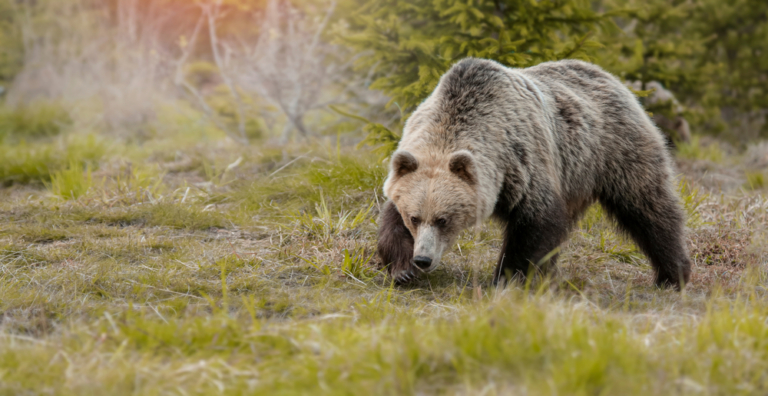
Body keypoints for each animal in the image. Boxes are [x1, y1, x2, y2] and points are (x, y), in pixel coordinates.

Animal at [376, 58, 688, 288]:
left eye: (444, 219)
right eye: (415, 217)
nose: (423, 259)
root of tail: (609, 75)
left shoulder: (522, 163)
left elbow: (536, 223)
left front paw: (505, 278)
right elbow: (391, 221)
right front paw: (402, 270)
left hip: (617, 150)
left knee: (649, 208)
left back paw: (673, 274)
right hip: (574, 177)